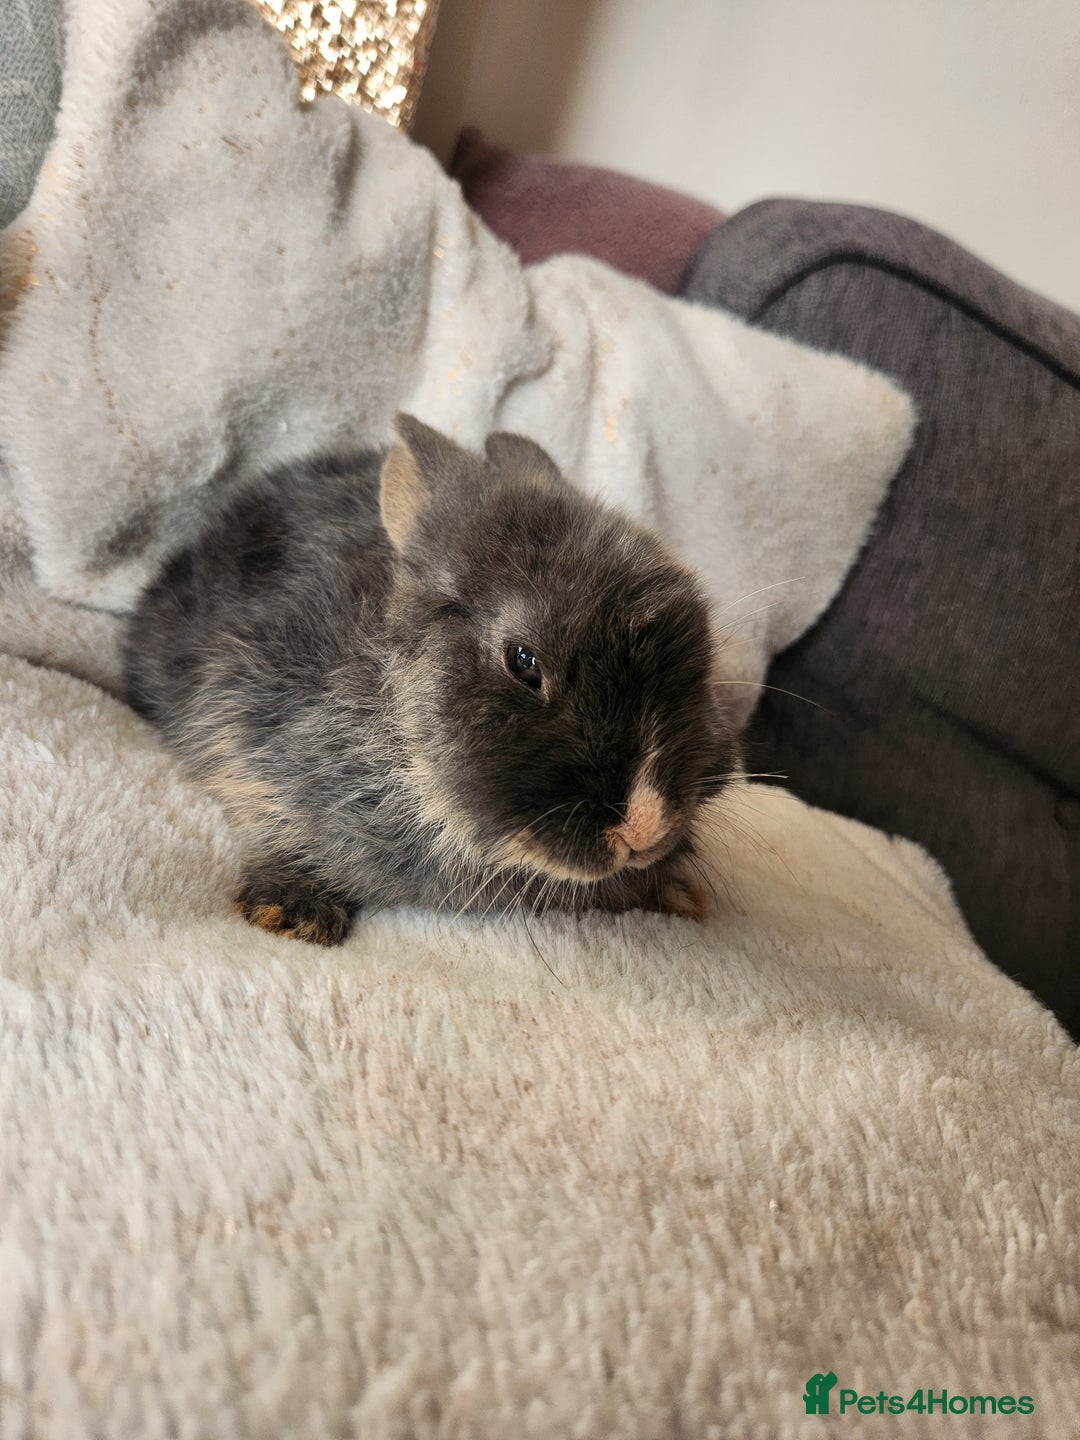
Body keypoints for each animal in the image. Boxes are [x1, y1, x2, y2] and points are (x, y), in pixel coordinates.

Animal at [124, 416, 740, 945]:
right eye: (524, 662)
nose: (645, 827)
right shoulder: (244, 719)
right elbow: (271, 816)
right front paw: (292, 912)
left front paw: (676, 894)